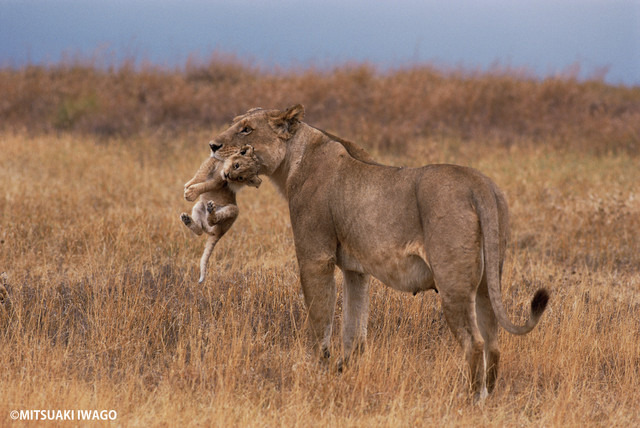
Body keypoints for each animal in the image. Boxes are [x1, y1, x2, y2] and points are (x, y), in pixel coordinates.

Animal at [181, 145, 262, 284]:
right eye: (236, 165)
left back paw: (211, 211)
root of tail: (219, 233)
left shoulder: (219, 182)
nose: (228, 175)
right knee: (200, 230)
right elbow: (200, 174)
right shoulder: (211, 163)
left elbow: (206, 185)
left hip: (233, 210)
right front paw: (189, 186)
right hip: (199, 207)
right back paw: (188, 219)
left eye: (241, 178)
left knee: (213, 221)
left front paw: (190, 193)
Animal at [208, 104, 548, 402]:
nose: (212, 145)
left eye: (247, 129)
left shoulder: (315, 257)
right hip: (487, 283)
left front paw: (311, 370)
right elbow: (353, 326)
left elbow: (319, 319)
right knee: (494, 342)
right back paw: (490, 394)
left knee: (474, 342)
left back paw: (472, 398)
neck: (294, 160)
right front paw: (344, 371)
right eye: (235, 123)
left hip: (453, 283)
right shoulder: (356, 270)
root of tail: (479, 184)